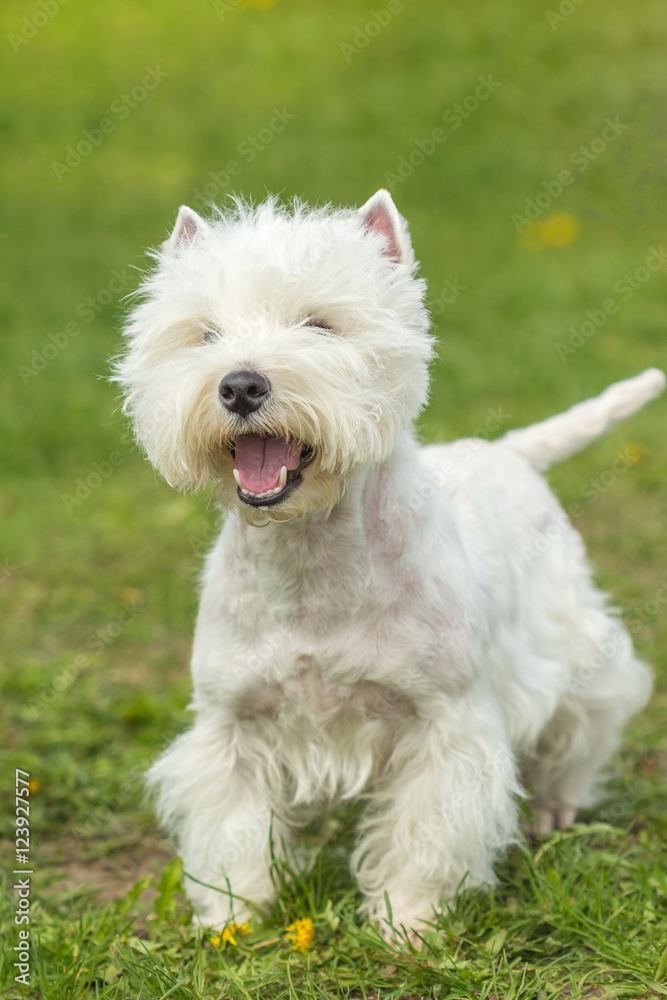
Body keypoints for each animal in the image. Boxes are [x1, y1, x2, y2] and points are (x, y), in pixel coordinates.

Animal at [117, 193, 664, 936]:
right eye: (204, 333)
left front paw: (408, 920)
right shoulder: (231, 722)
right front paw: (234, 912)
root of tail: (507, 450)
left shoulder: (445, 722)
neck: (309, 559)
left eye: (320, 324)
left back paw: (554, 806)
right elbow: (232, 822)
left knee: (584, 723)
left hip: (574, 645)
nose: (240, 385)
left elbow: (426, 829)